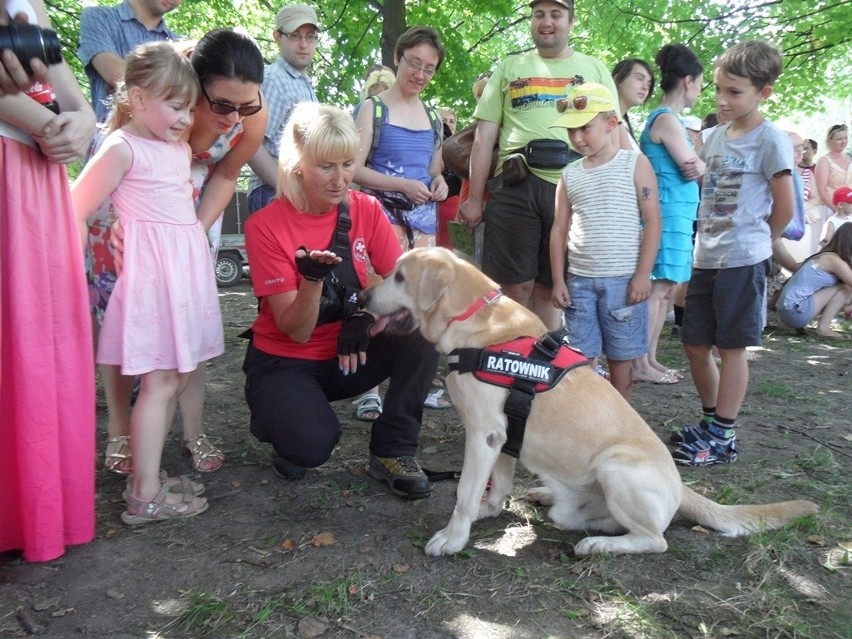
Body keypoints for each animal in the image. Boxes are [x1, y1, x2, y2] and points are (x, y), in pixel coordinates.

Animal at [364, 248, 820, 556]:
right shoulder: (505, 435)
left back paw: (599, 545)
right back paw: (555, 502)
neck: (472, 317)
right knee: (582, 518)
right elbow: (498, 484)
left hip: (616, 468)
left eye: (400, 277)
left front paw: (454, 537)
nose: (363, 297)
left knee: (654, 539)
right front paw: (487, 510)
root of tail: (681, 486)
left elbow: (464, 492)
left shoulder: (484, 434)